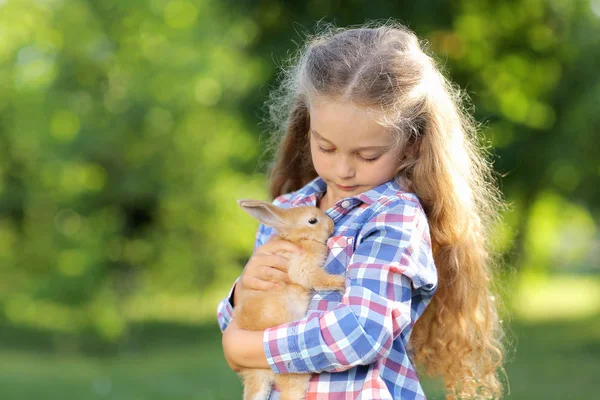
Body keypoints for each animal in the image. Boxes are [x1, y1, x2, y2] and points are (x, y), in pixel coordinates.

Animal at [234, 199, 346, 400]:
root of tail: (259, 372)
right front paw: (341, 282)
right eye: (312, 220)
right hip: (293, 375)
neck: (299, 239)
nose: (331, 224)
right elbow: (319, 279)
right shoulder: (302, 268)